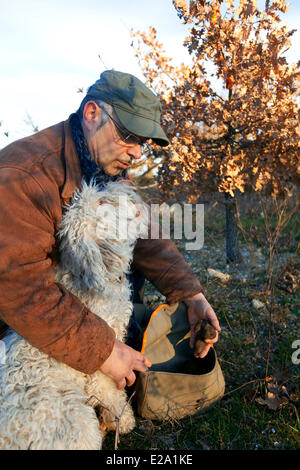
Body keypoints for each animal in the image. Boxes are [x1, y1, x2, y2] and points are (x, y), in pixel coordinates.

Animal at [0, 179, 149, 448]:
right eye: (101, 202)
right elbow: (112, 394)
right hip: (78, 420)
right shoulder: (104, 366)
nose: (126, 184)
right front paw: (124, 421)